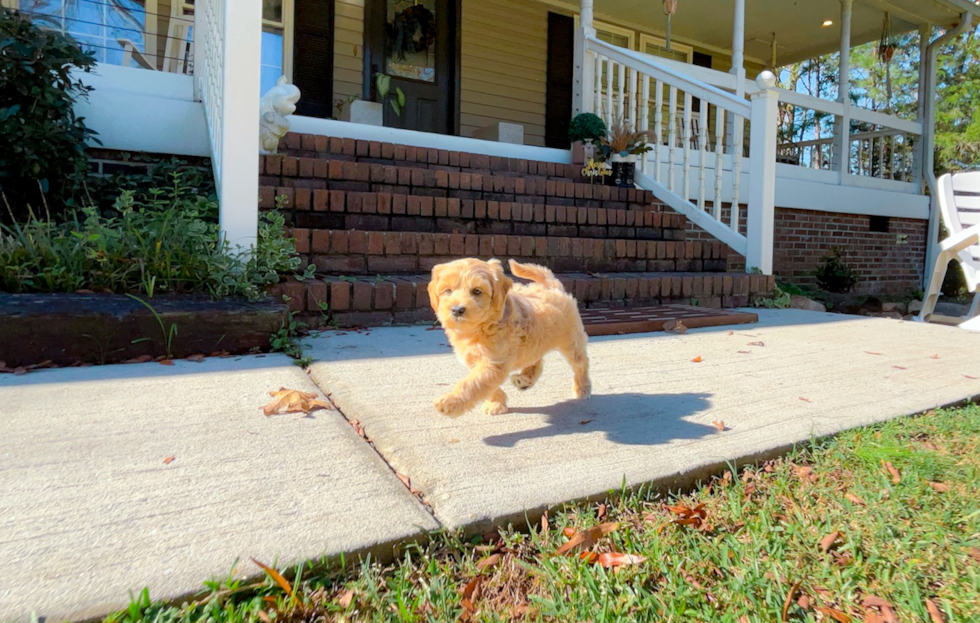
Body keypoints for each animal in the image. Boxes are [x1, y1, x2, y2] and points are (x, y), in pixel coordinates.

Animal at [426, 258, 588, 420]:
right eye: (448, 290)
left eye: (477, 291)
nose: (457, 310)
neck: (482, 327)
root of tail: (553, 287)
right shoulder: (479, 362)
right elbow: (486, 385)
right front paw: (496, 404)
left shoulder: (493, 363)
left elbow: (473, 383)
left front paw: (450, 402)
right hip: (535, 341)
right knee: (536, 360)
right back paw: (525, 379)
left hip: (571, 341)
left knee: (581, 364)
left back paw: (582, 389)